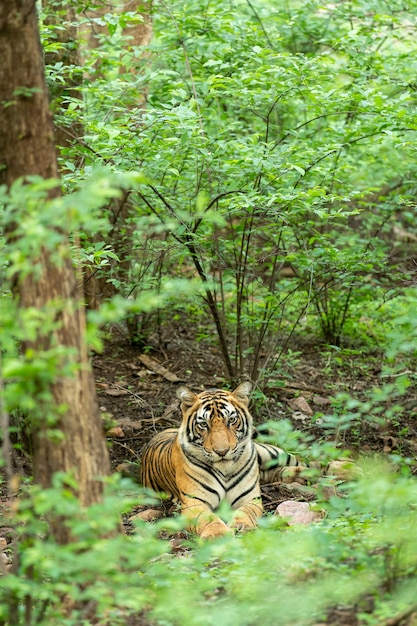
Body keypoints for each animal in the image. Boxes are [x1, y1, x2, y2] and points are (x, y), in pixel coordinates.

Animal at [139, 380, 302, 536]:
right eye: (203, 424)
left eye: (231, 420)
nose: (222, 451)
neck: (225, 470)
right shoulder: (195, 503)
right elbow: (207, 518)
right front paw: (217, 534)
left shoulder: (250, 499)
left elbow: (245, 512)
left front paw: (242, 526)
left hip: (270, 453)